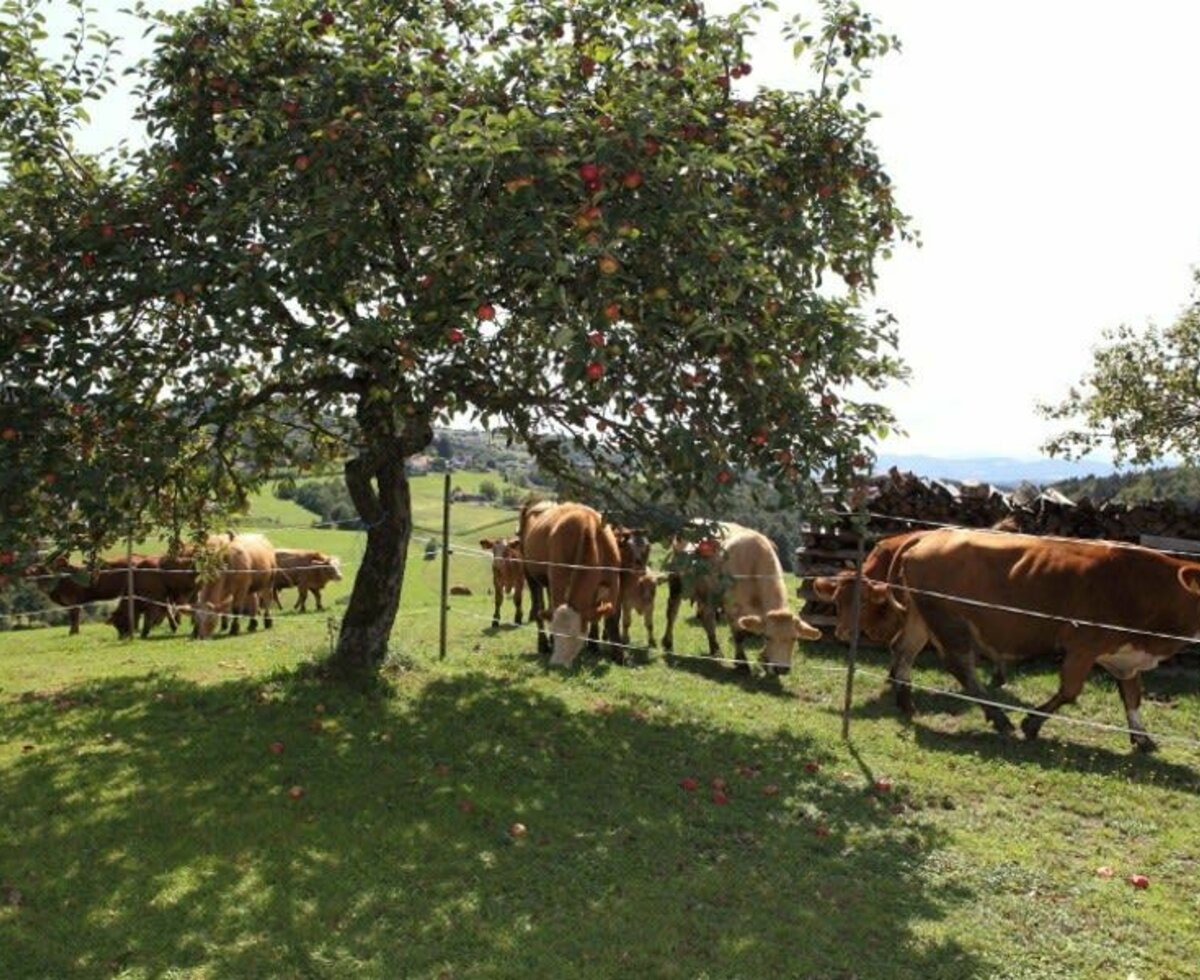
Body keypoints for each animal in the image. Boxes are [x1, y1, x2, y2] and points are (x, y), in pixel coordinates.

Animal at [520, 496, 624, 666]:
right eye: (556, 632)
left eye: (576, 636)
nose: (556, 663)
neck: (588, 531)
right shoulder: (558, 576)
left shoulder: (613, 579)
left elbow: (611, 618)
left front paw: (617, 655)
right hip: (529, 573)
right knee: (538, 607)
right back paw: (543, 644)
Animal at [662, 522, 820, 676]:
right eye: (768, 637)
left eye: (794, 638)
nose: (781, 669)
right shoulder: (732, 606)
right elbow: (739, 635)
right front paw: (742, 662)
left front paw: (764, 658)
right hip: (676, 583)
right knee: (672, 612)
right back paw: (668, 643)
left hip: (708, 594)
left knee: (707, 618)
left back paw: (715, 650)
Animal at [883, 527, 1200, 748]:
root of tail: (929, 535)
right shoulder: (1083, 646)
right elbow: (1070, 691)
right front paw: (1031, 724)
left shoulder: (1125, 656)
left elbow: (1133, 697)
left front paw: (1143, 739)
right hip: (948, 620)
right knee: (960, 666)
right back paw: (1000, 719)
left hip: (920, 617)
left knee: (903, 650)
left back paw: (906, 703)